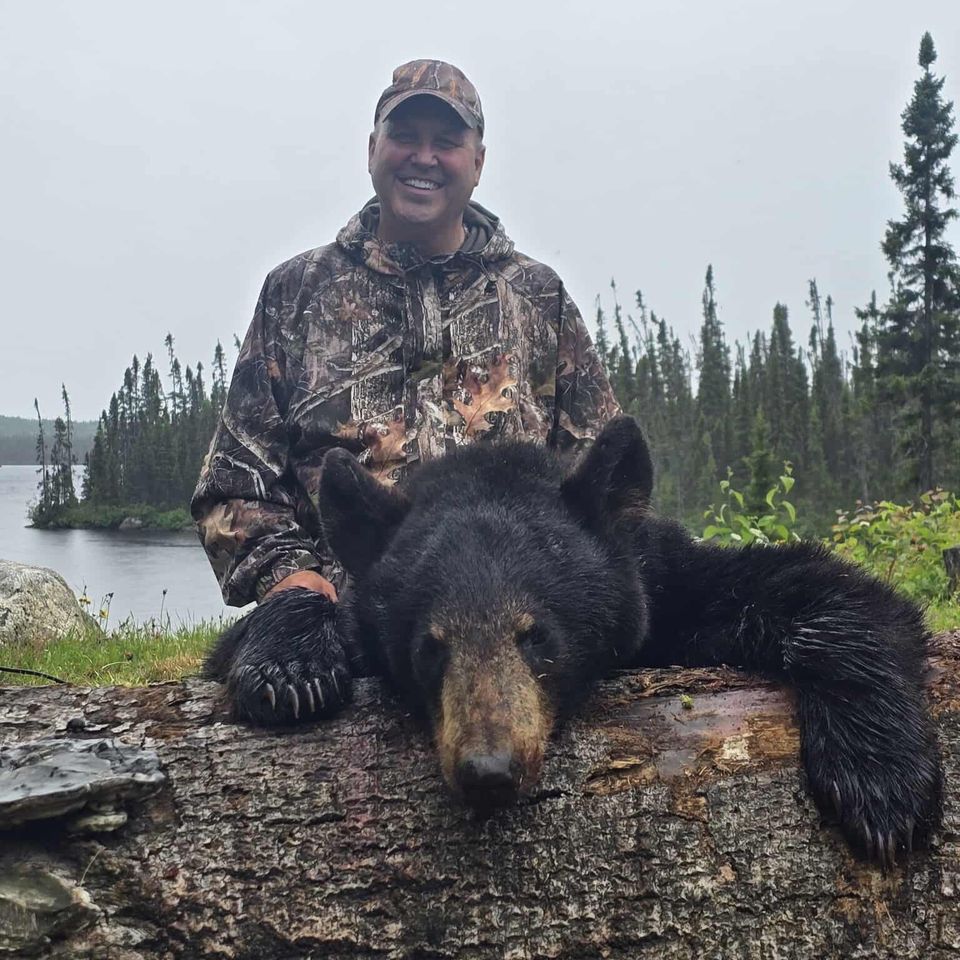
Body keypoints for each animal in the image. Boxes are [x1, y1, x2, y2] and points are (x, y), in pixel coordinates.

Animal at [204, 416, 942, 866]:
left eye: (537, 636)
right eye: (430, 646)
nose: (489, 771)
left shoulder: (659, 585)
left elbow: (820, 587)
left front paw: (881, 785)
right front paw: (289, 670)